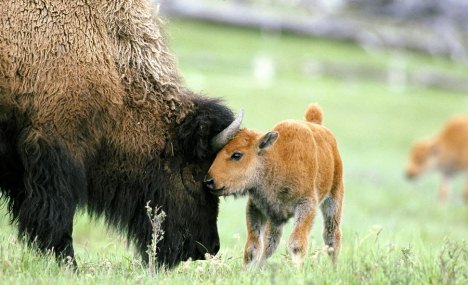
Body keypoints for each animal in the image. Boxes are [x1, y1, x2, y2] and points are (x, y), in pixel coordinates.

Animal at [205, 103, 344, 268]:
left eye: (237, 155)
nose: (209, 180)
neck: (276, 159)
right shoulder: (258, 208)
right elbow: (253, 247)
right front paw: (247, 271)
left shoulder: (306, 205)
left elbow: (296, 243)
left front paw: (297, 270)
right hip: (276, 218)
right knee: (270, 243)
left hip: (334, 199)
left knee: (331, 236)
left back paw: (334, 268)